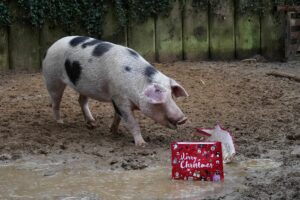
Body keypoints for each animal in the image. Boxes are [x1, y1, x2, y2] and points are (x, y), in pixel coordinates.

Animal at [42, 35, 188, 145]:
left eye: (172, 96)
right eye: (160, 101)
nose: (183, 118)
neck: (137, 84)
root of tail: (51, 47)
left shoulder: (116, 98)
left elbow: (118, 116)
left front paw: (114, 132)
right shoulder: (120, 99)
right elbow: (132, 122)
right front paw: (142, 144)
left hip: (82, 85)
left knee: (81, 100)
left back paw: (92, 124)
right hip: (52, 78)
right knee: (55, 102)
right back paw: (61, 123)